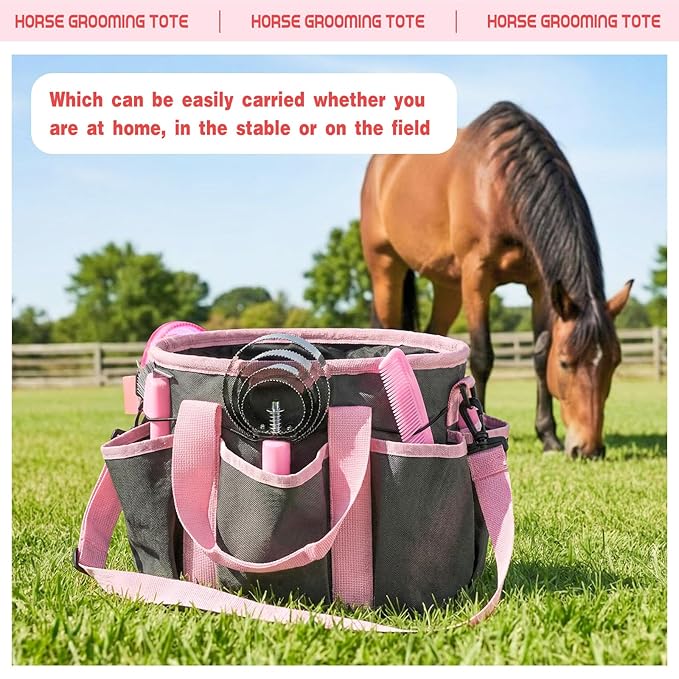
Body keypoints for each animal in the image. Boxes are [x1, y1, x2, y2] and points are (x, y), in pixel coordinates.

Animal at [360, 101, 632, 458]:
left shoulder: (540, 287)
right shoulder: (477, 276)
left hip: (447, 287)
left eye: (614, 363)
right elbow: (482, 356)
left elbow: (538, 355)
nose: (588, 450)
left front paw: (548, 436)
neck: (497, 185)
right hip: (386, 268)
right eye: (565, 364)